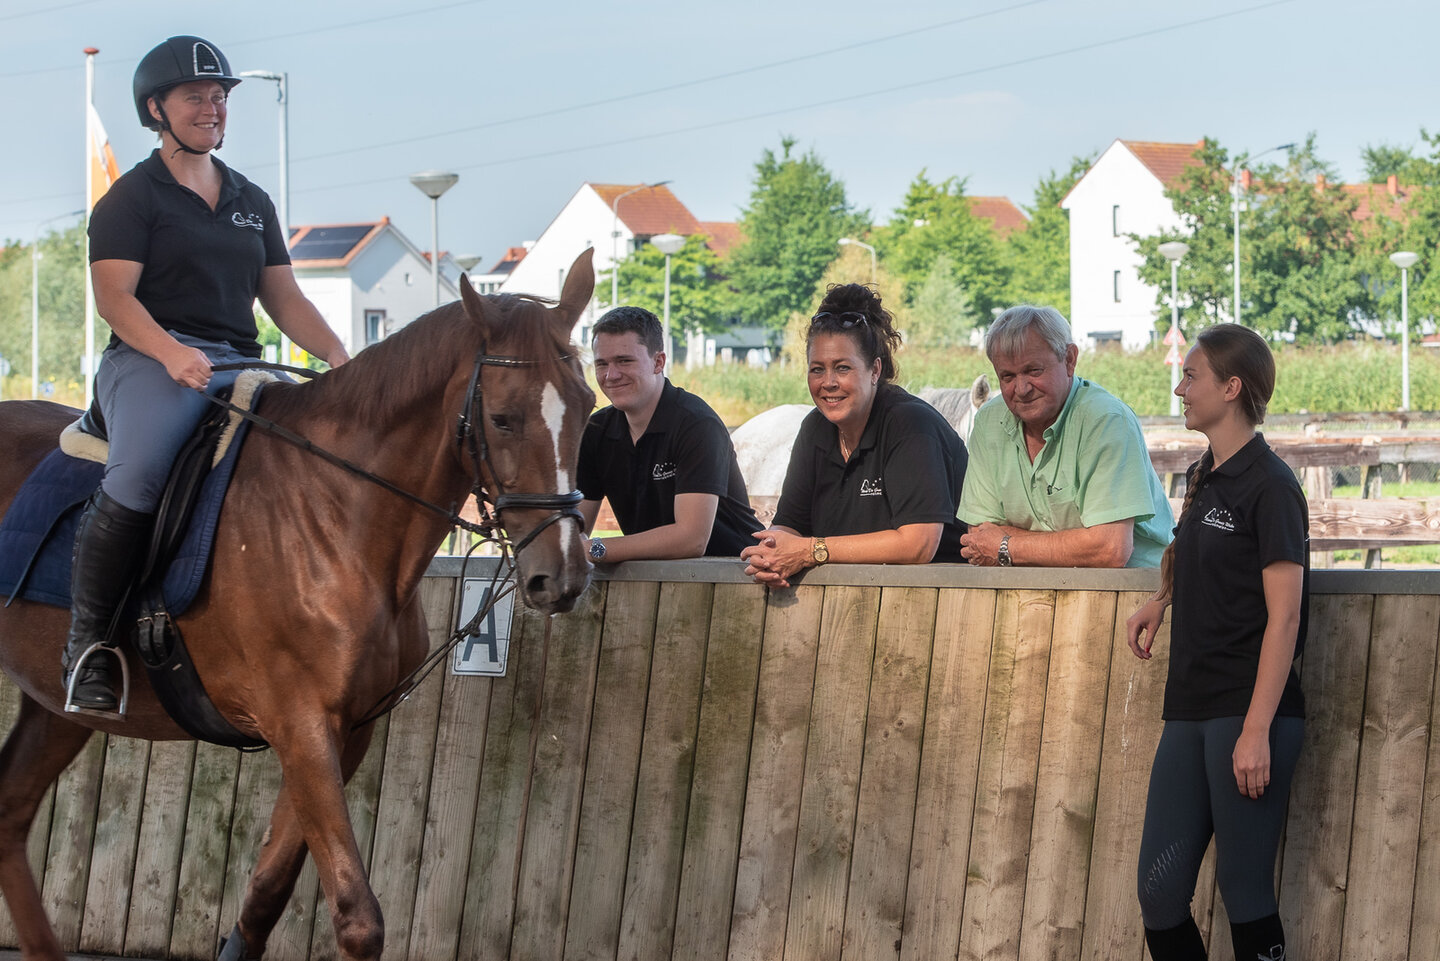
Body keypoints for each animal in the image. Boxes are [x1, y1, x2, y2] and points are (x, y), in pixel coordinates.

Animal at [0, 250, 599, 961]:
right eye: (503, 418)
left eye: (587, 408)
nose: (562, 576)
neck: (337, 513)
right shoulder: (299, 721)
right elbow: (358, 917)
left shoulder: (344, 728)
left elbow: (266, 893)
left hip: (53, 707)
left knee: (7, 814)